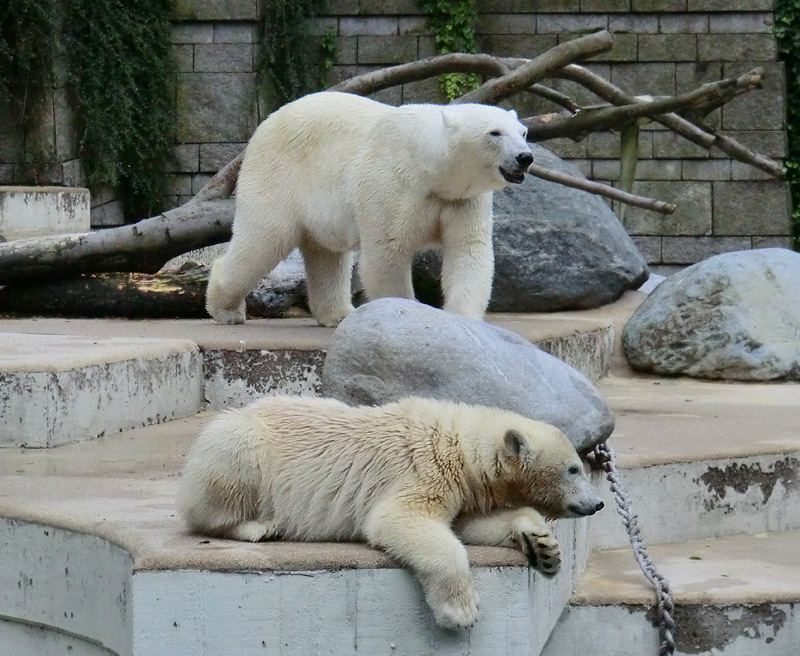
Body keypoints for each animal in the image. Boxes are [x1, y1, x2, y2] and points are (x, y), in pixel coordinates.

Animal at [178, 394, 604, 632]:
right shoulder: (424, 472)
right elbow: (403, 521)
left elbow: (469, 524)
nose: (597, 503)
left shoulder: (464, 489)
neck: (461, 447)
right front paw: (461, 610)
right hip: (242, 446)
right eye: (573, 469)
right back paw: (257, 526)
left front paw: (544, 547)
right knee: (217, 492)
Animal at [205, 91, 532, 326]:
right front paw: (404, 312)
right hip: (278, 176)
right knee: (264, 238)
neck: (430, 168)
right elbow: (387, 251)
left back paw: (338, 314)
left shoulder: (461, 200)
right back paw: (226, 310)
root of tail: (263, 126)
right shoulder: (393, 184)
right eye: (494, 133)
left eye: (523, 131)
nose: (525, 157)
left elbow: (468, 249)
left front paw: (464, 320)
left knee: (327, 254)